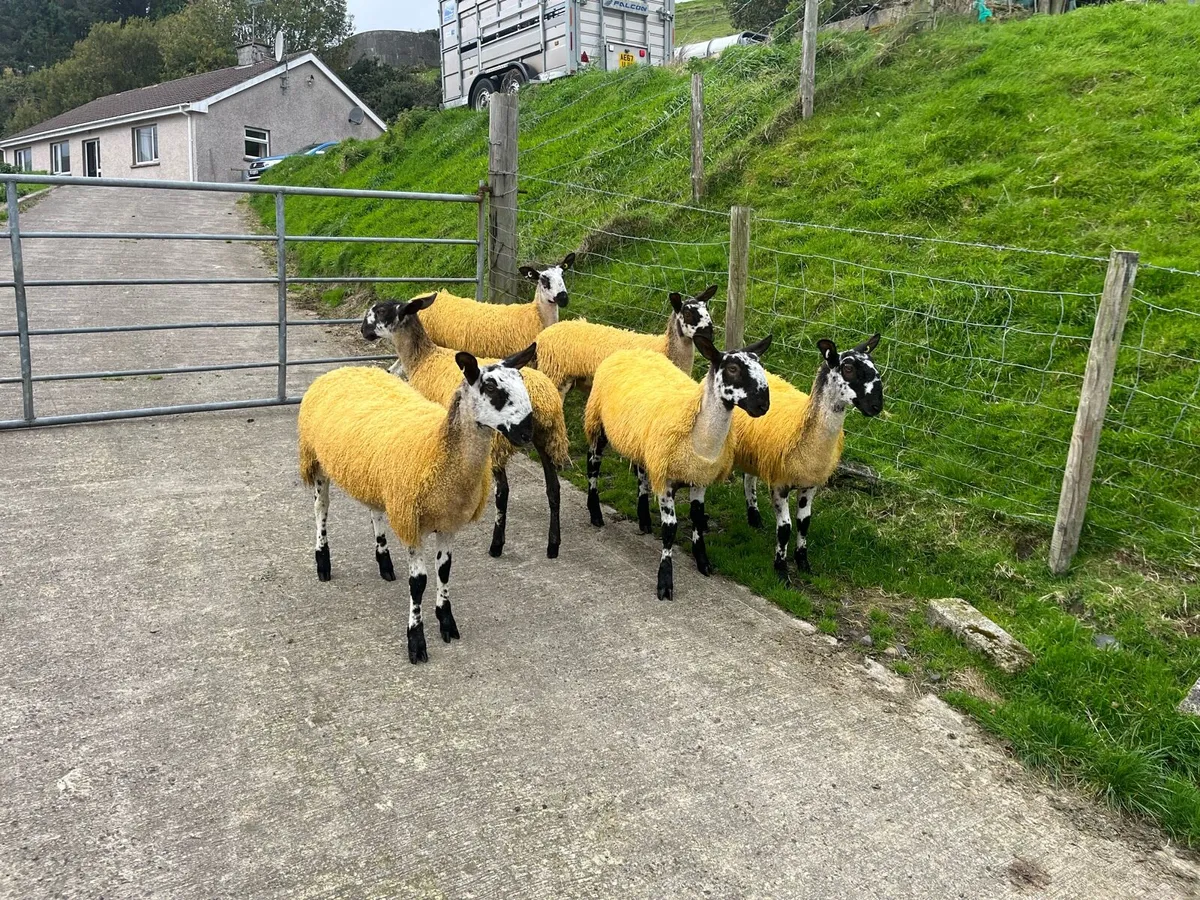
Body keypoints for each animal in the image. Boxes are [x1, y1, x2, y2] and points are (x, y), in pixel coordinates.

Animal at [297, 345, 537, 664]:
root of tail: (346, 369)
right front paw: (416, 639)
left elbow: (444, 571)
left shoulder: (448, 521)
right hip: (316, 458)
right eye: (489, 387)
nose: (527, 433)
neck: (437, 449)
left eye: (523, 383)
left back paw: (384, 562)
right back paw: (323, 562)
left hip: (375, 478)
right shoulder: (411, 521)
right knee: (321, 509)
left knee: (374, 512)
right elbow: (419, 582)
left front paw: (446, 621)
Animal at [361, 293, 571, 560]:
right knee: (553, 488)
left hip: (501, 442)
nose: (363, 330)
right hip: (546, 436)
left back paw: (496, 544)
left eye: (379, 311)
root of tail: (544, 399)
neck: (422, 358)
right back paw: (553, 545)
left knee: (503, 492)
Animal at [533, 285, 717, 396]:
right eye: (687, 314)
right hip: (555, 375)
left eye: (707, 309)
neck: (666, 348)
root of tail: (542, 335)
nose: (709, 335)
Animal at [584, 333, 772, 601]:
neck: (700, 436)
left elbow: (697, 518)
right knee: (593, 466)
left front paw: (703, 561)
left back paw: (643, 519)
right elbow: (670, 529)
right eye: (733, 369)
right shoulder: (666, 481)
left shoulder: (699, 477)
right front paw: (665, 581)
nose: (763, 405)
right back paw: (596, 513)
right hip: (598, 422)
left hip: (646, 446)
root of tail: (631, 351)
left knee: (641, 475)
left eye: (761, 366)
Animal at [733, 333, 882, 580]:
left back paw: (754, 518)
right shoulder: (780, 484)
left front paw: (803, 562)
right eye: (848, 368)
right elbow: (785, 528)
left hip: (755, 453)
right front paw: (781, 570)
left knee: (749, 478)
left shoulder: (810, 484)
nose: (877, 406)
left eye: (875, 367)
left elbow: (804, 523)